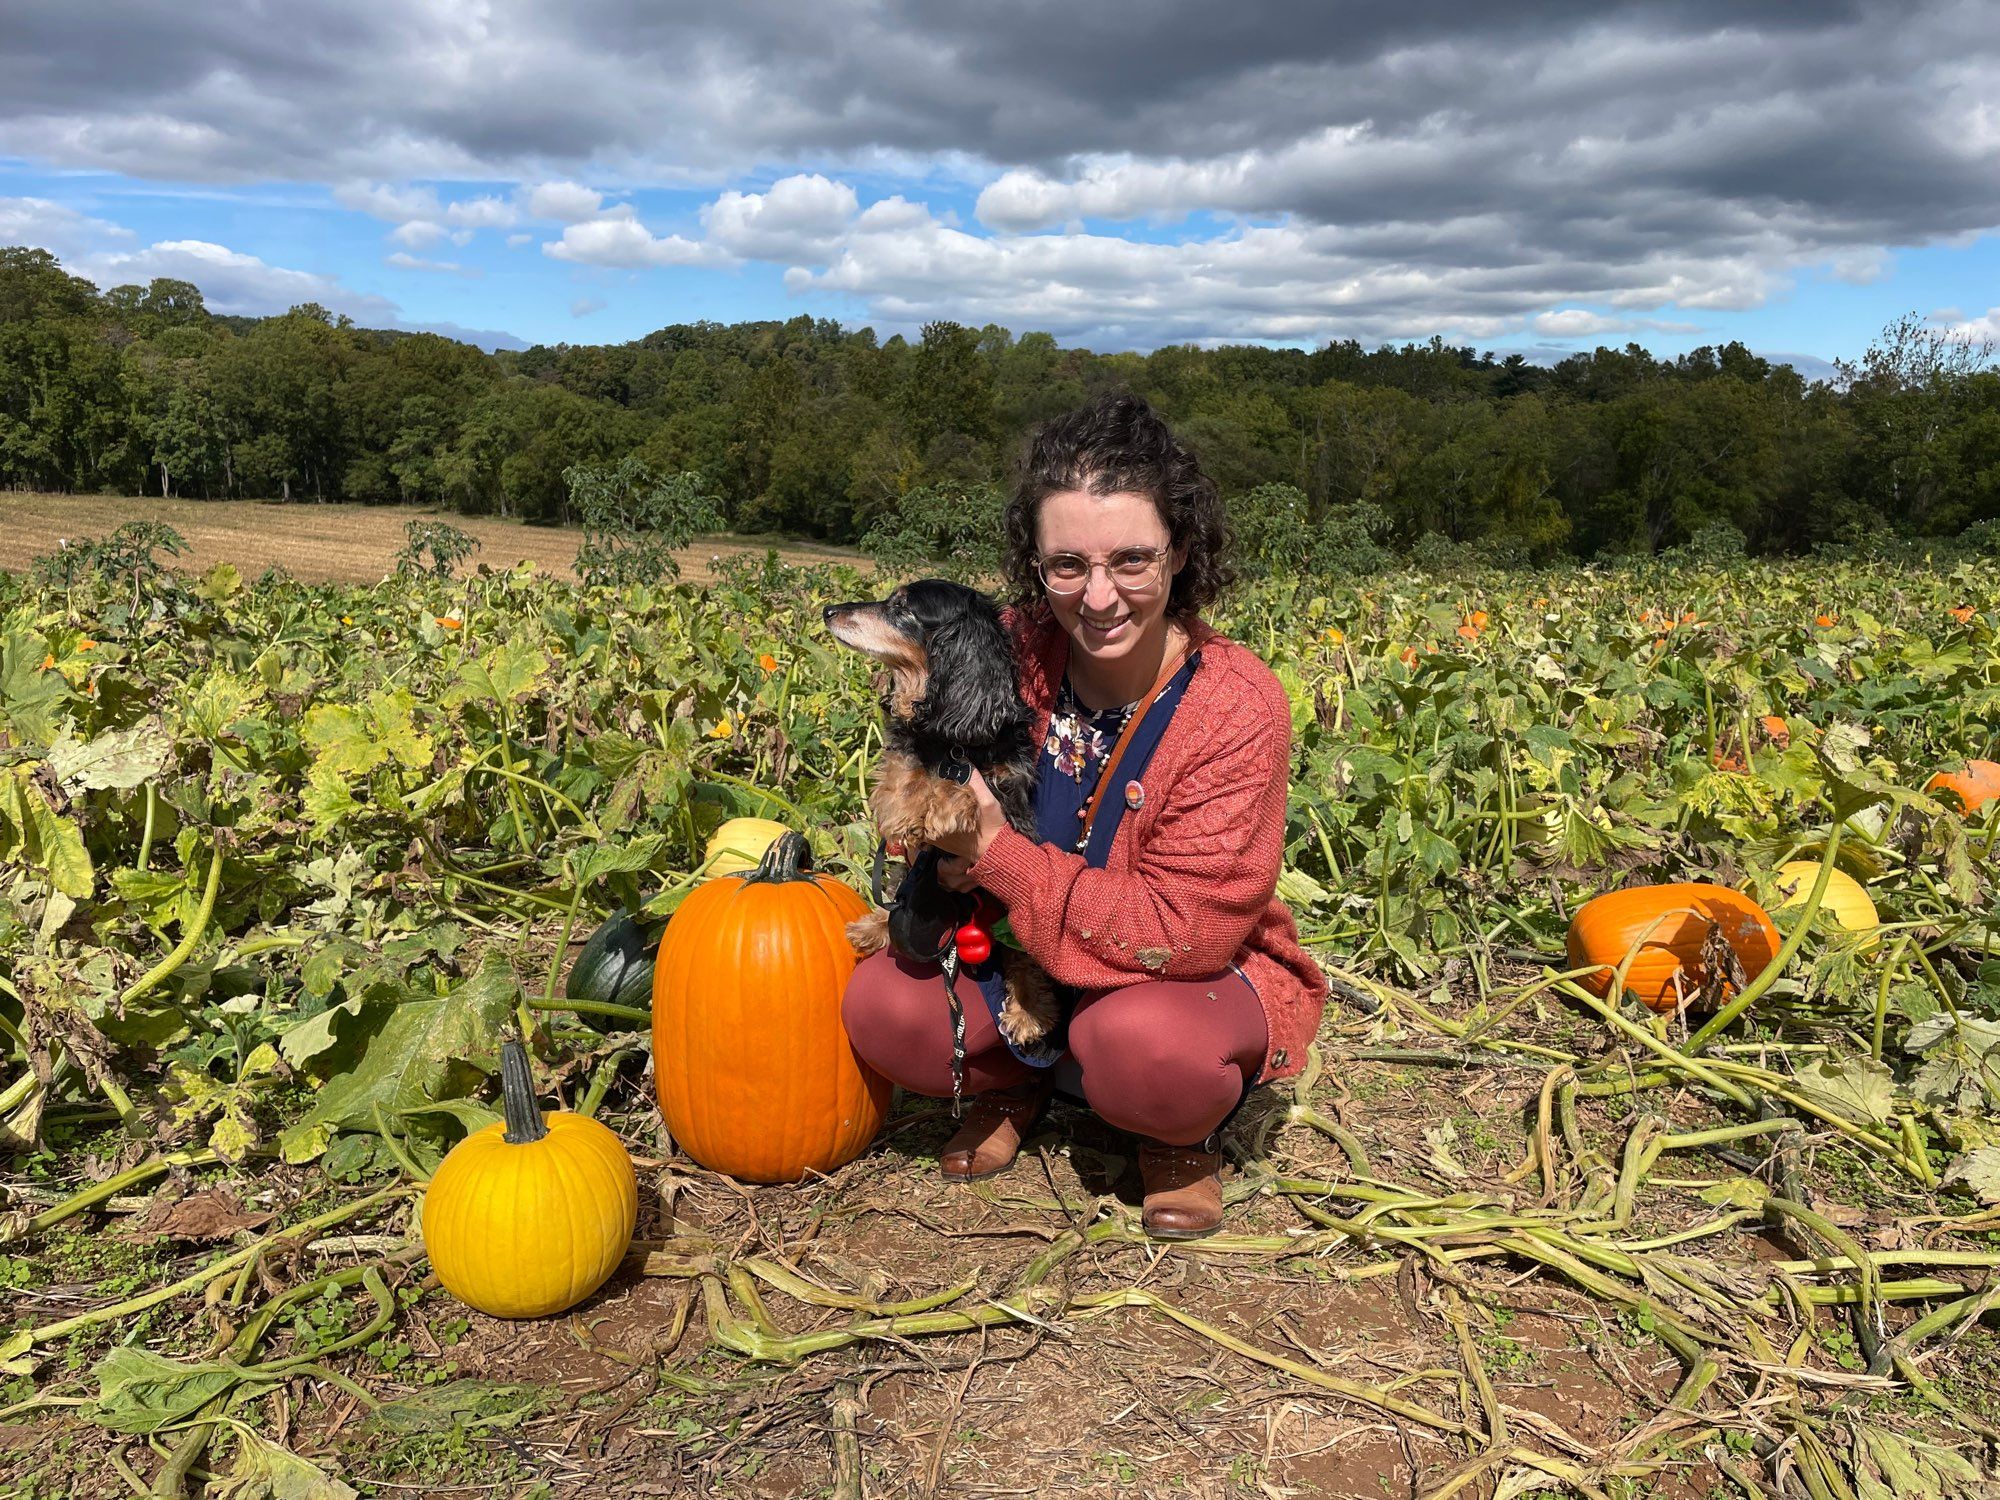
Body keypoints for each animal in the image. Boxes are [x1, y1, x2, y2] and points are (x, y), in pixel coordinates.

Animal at [824, 580, 1064, 1048]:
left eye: (901, 607)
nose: (828, 610)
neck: (951, 735)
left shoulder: (1012, 798)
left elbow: (965, 785)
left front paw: (945, 806)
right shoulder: (902, 756)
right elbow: (902, 776)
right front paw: (910, 811)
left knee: (1021, 956)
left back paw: (1028, 1010)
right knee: (899, 896)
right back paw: (875, 925)